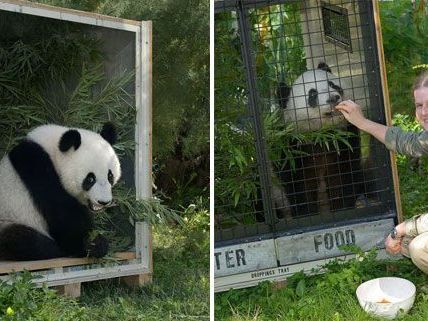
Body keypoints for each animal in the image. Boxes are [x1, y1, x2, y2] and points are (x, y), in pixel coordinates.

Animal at [0, 122, 120, 260]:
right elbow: (63, 216)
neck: (52, 153)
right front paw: (91, 245)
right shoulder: (38, 172)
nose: (104, 202)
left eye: (110, 176)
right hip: (8, 220)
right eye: (90, 179)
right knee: (22, 240)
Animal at [276, 62, 362, 218]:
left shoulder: (343, 139)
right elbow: (300, 184)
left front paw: (342, 209)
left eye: (332, 84)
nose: (333, 98)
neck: (322, 137)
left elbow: (341, 176)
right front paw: (307, 215)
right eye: (312, 94)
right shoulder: (292, 147)